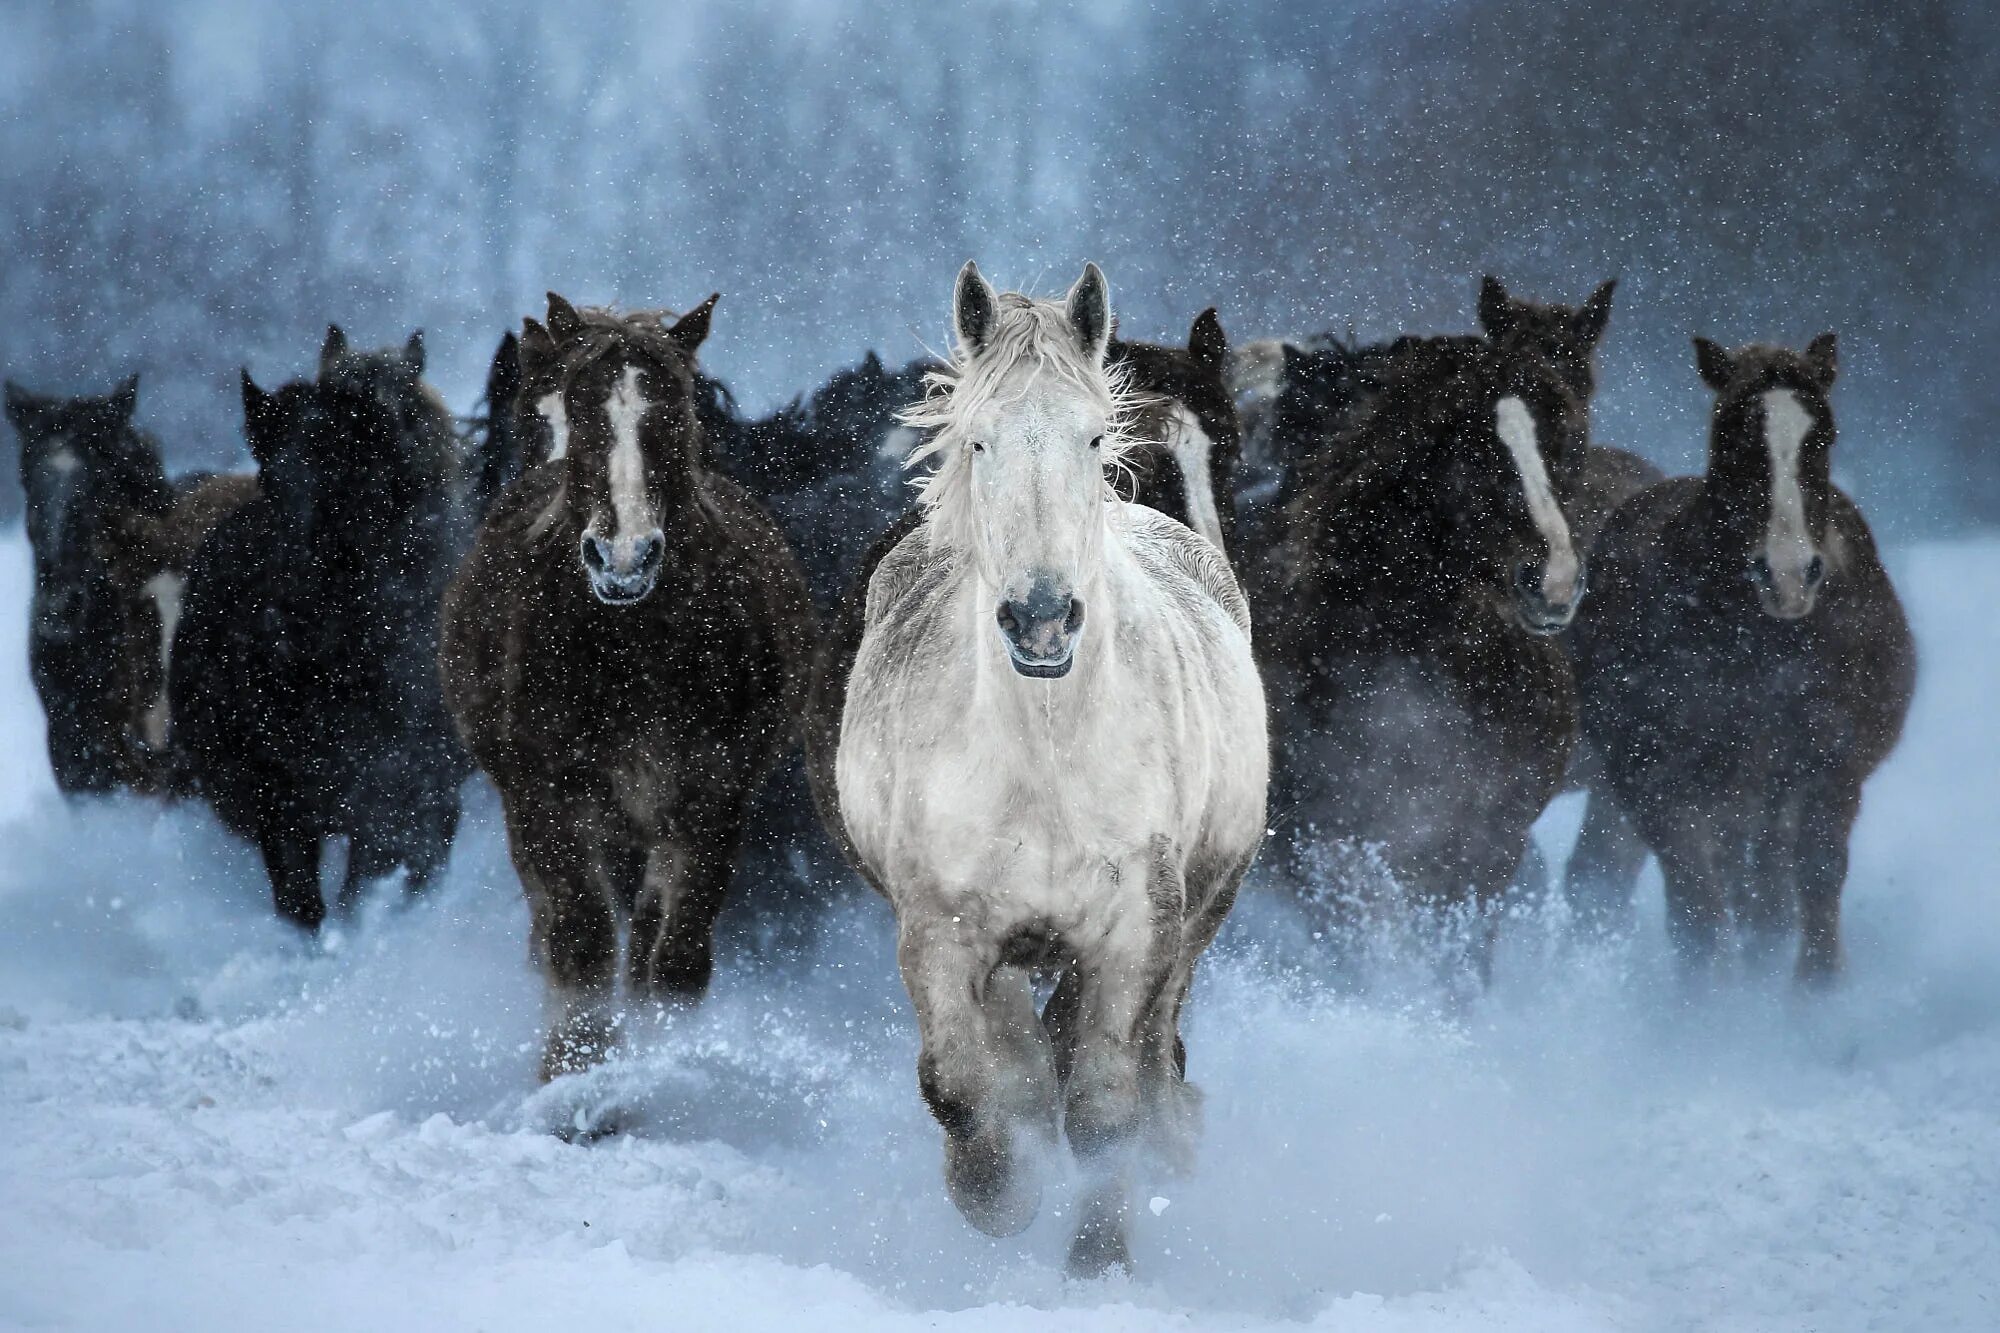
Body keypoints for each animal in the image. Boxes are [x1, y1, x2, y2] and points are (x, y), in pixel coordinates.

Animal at [440, 294, 812, 1080]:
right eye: (582, 417)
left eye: (673, 418)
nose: (623, 558)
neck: (632, 652)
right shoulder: (547, 803)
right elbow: (579, 947)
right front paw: (574, 1081)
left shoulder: (709, 802)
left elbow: (673, 959)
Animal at [828, 260, 1264, 1264]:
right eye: (978, 440)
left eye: (1095, 434)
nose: (1040, 619)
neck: (1047, 754)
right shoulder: (942, 928)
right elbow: (959, 1083)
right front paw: (999, 1196)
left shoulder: (1137, 931)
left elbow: (1105, 1110)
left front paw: (1097, 1260)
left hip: (1201, 913)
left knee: (1147, 1056)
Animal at [1568, 332, 1912, 976]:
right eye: (1731, 436)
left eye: (1822, 436)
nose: (1787, 574)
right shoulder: (1670, 781)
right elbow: (1699, 914)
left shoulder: (1828, 769)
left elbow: (1816, 880)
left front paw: (1815, 989)